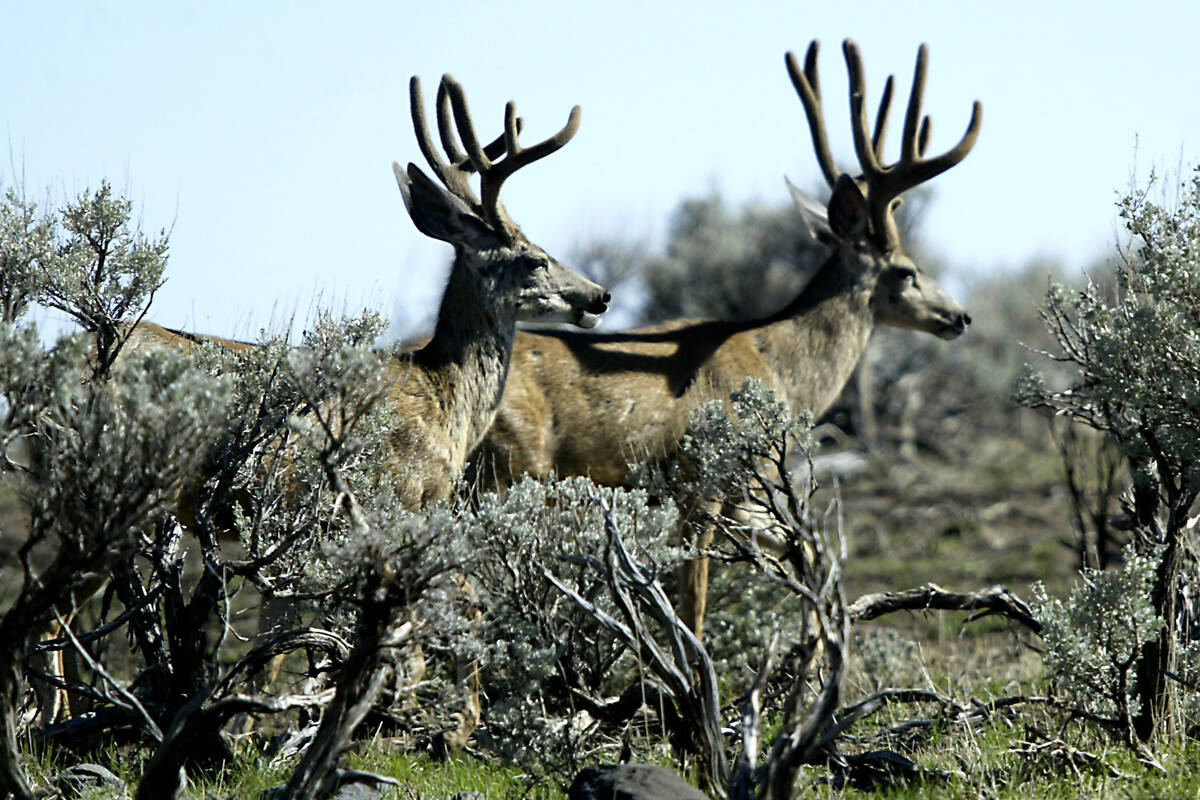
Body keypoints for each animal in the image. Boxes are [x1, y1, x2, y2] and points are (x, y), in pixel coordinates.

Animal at [477, 38, 984, 638]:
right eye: (907, 270)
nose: (959, 316)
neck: (780, 366)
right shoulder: (706, 481)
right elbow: (694, 606)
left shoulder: (746, 497)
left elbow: (805, 564)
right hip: (506, 472)